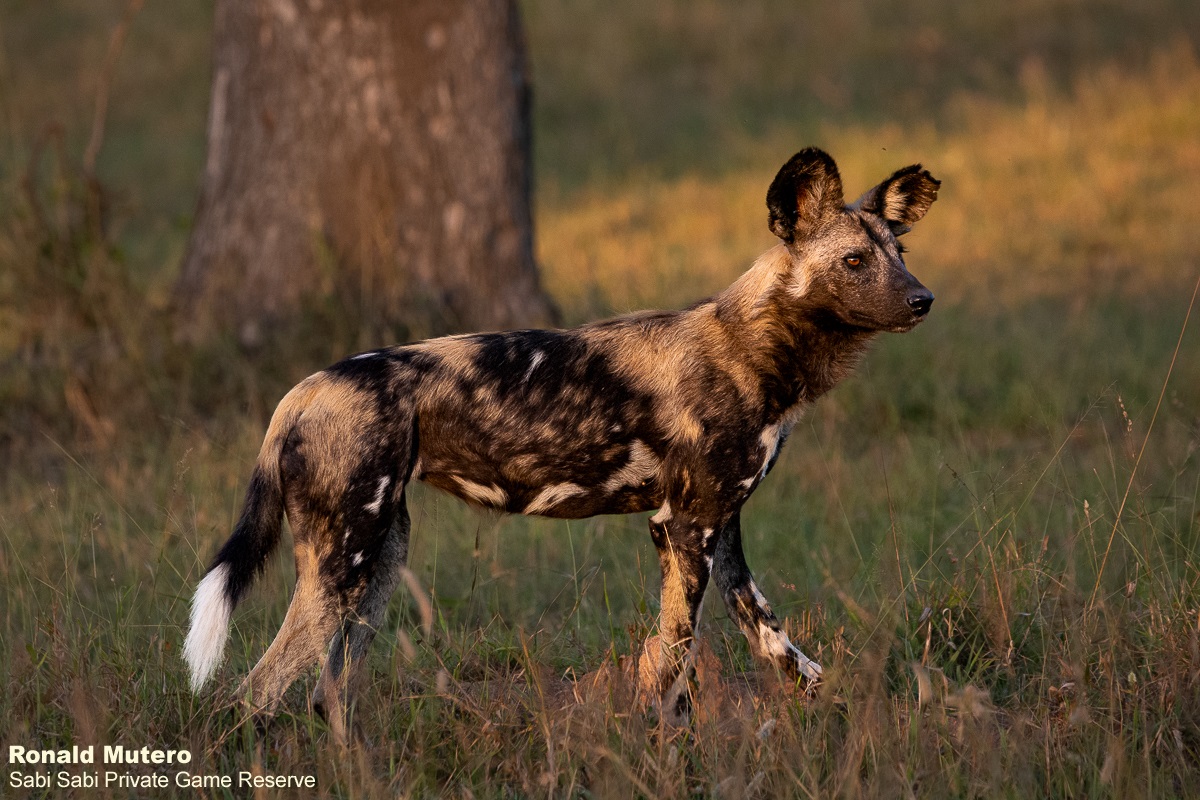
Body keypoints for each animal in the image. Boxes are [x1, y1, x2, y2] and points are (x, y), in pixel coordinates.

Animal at [184, 148, 936, 724]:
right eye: (854, 263)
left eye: (899, 253)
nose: (923, 299)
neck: (753, 347)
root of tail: (306, 386)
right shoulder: (684, 526)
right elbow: (673, 660)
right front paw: (660, 743)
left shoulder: (720, 530)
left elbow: (772, 642)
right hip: (345, 561)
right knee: (254, 693)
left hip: (379, 562)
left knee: (326, 692)